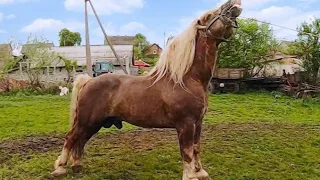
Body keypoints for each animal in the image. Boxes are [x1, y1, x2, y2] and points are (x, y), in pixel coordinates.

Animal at [52, 0, 242, 179]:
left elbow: (196, 148)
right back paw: (60, 168)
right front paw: (190, 176)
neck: (186, 79)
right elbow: (187, 152)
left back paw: (77, 165)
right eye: (209, 16)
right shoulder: (186, 124)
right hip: (86, 121)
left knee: (80, 140)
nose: (234, 4)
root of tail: (89, 81)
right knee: (71, 138)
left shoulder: (198, 123)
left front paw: (201, 172)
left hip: (94, 123)